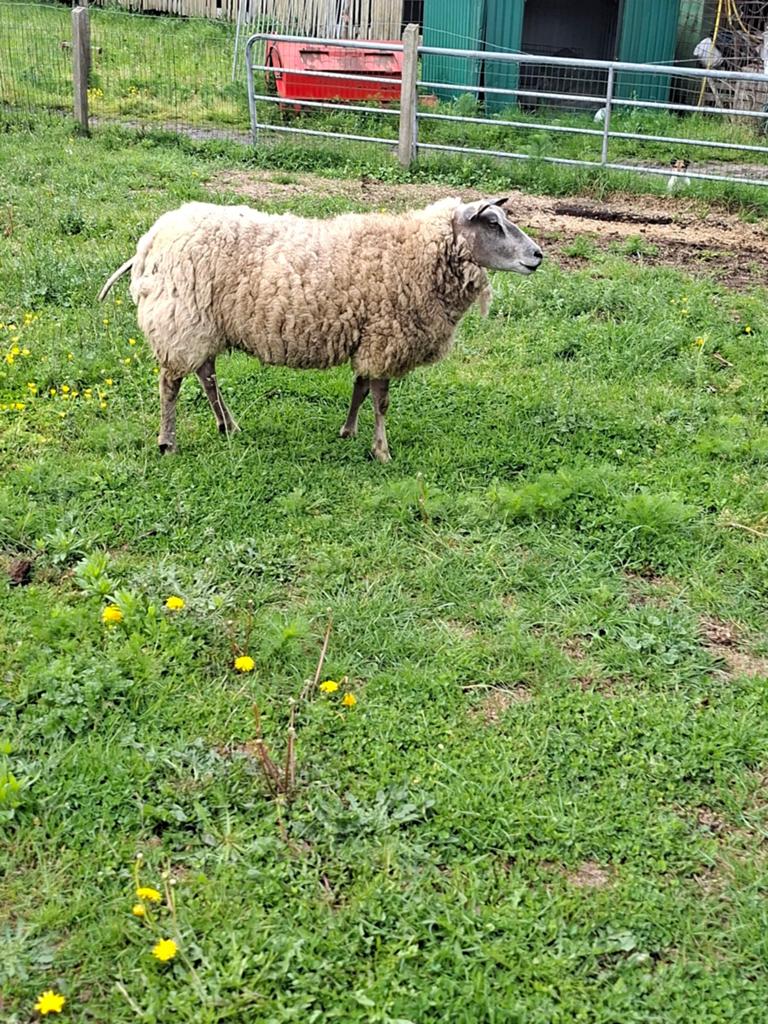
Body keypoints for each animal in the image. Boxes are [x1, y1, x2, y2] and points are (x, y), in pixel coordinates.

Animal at [99, 196, 543, 461]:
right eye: (492, 223)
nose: (538, 255)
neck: (415, 252)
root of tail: (152, 239)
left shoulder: (369, 337)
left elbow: (360, 389)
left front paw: (348, 430)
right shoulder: (385, 337)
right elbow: (381, 401)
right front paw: (381, 450)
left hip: (202, 324)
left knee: (206, 374)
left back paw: (228, 425)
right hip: (180, 319)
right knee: (171, 383)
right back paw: (168, 441)